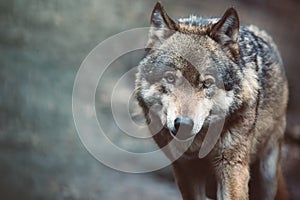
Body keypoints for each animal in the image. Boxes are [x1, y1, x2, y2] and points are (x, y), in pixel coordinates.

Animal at [135, 1, 288, 200]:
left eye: (207, 83)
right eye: (170, 78)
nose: (183, 124)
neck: (200, 144)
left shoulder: (232, 166)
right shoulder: (186, 170)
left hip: (267, 173)